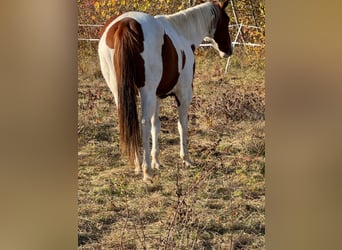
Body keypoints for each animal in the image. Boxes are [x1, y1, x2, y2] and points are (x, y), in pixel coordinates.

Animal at [97, 0, 234, 184]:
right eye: (226, 20)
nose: (228, 50)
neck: (182, 33)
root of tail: (125, 24)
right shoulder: (183, 94)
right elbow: (182, 125)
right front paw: (186, 159)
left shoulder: (157, 96)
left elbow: (156, 125)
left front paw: (157, 161)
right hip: (146, 92)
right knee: (143, 124)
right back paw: (146, 171)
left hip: (119, 92)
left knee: (130, 123)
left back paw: (138, 165)